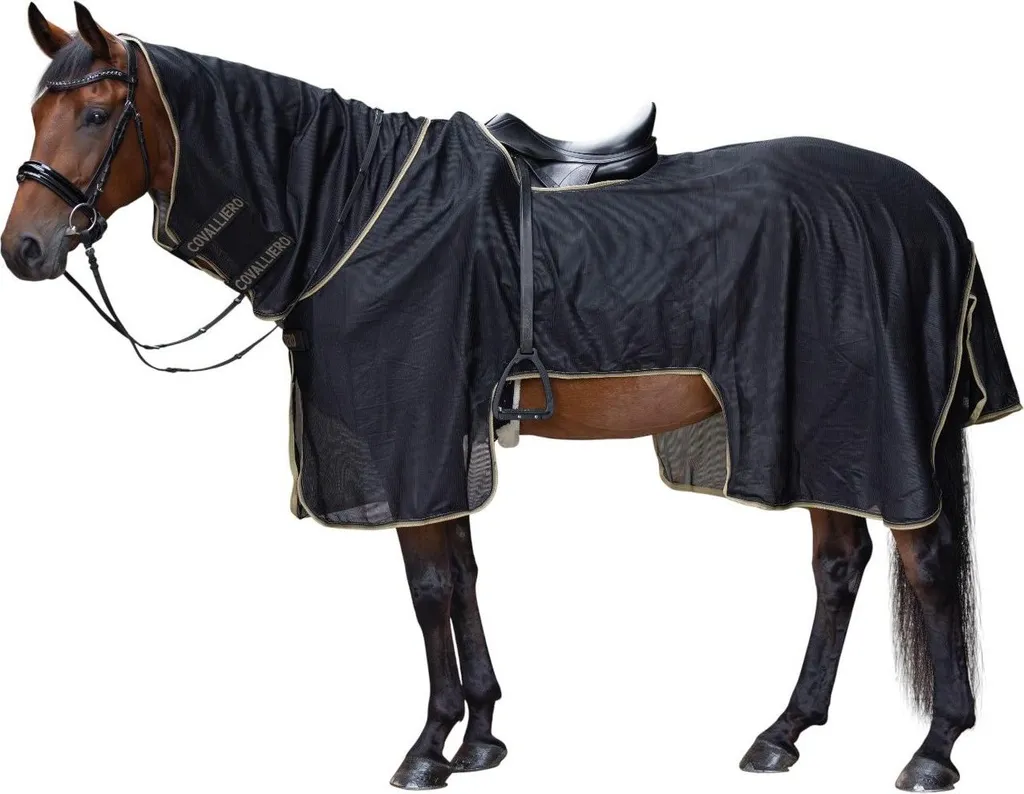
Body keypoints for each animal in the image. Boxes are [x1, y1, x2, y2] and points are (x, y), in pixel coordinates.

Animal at [2, 4, 1019, 791]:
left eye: (98, 111)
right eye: (36, 109)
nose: (25, 248)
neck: (352, 206)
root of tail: (934, 209)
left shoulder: (406, 443)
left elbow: (429, 589)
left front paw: (428, 746)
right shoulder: (444, 442)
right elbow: (462, 578)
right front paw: (482, 735)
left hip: (866, 426)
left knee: (925, 566)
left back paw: (934, 750)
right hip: (816, 434)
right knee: (840, 567)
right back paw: (783, 732)